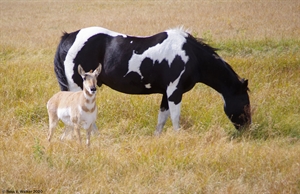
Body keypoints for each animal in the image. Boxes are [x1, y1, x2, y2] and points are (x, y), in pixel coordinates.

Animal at [54, 26, 251, 135]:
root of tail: (69, 37)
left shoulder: (166, 92)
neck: (191, 55)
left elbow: (162, 118)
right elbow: (175, 117)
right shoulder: (174, 91)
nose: (248, 130)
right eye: (245, 102)